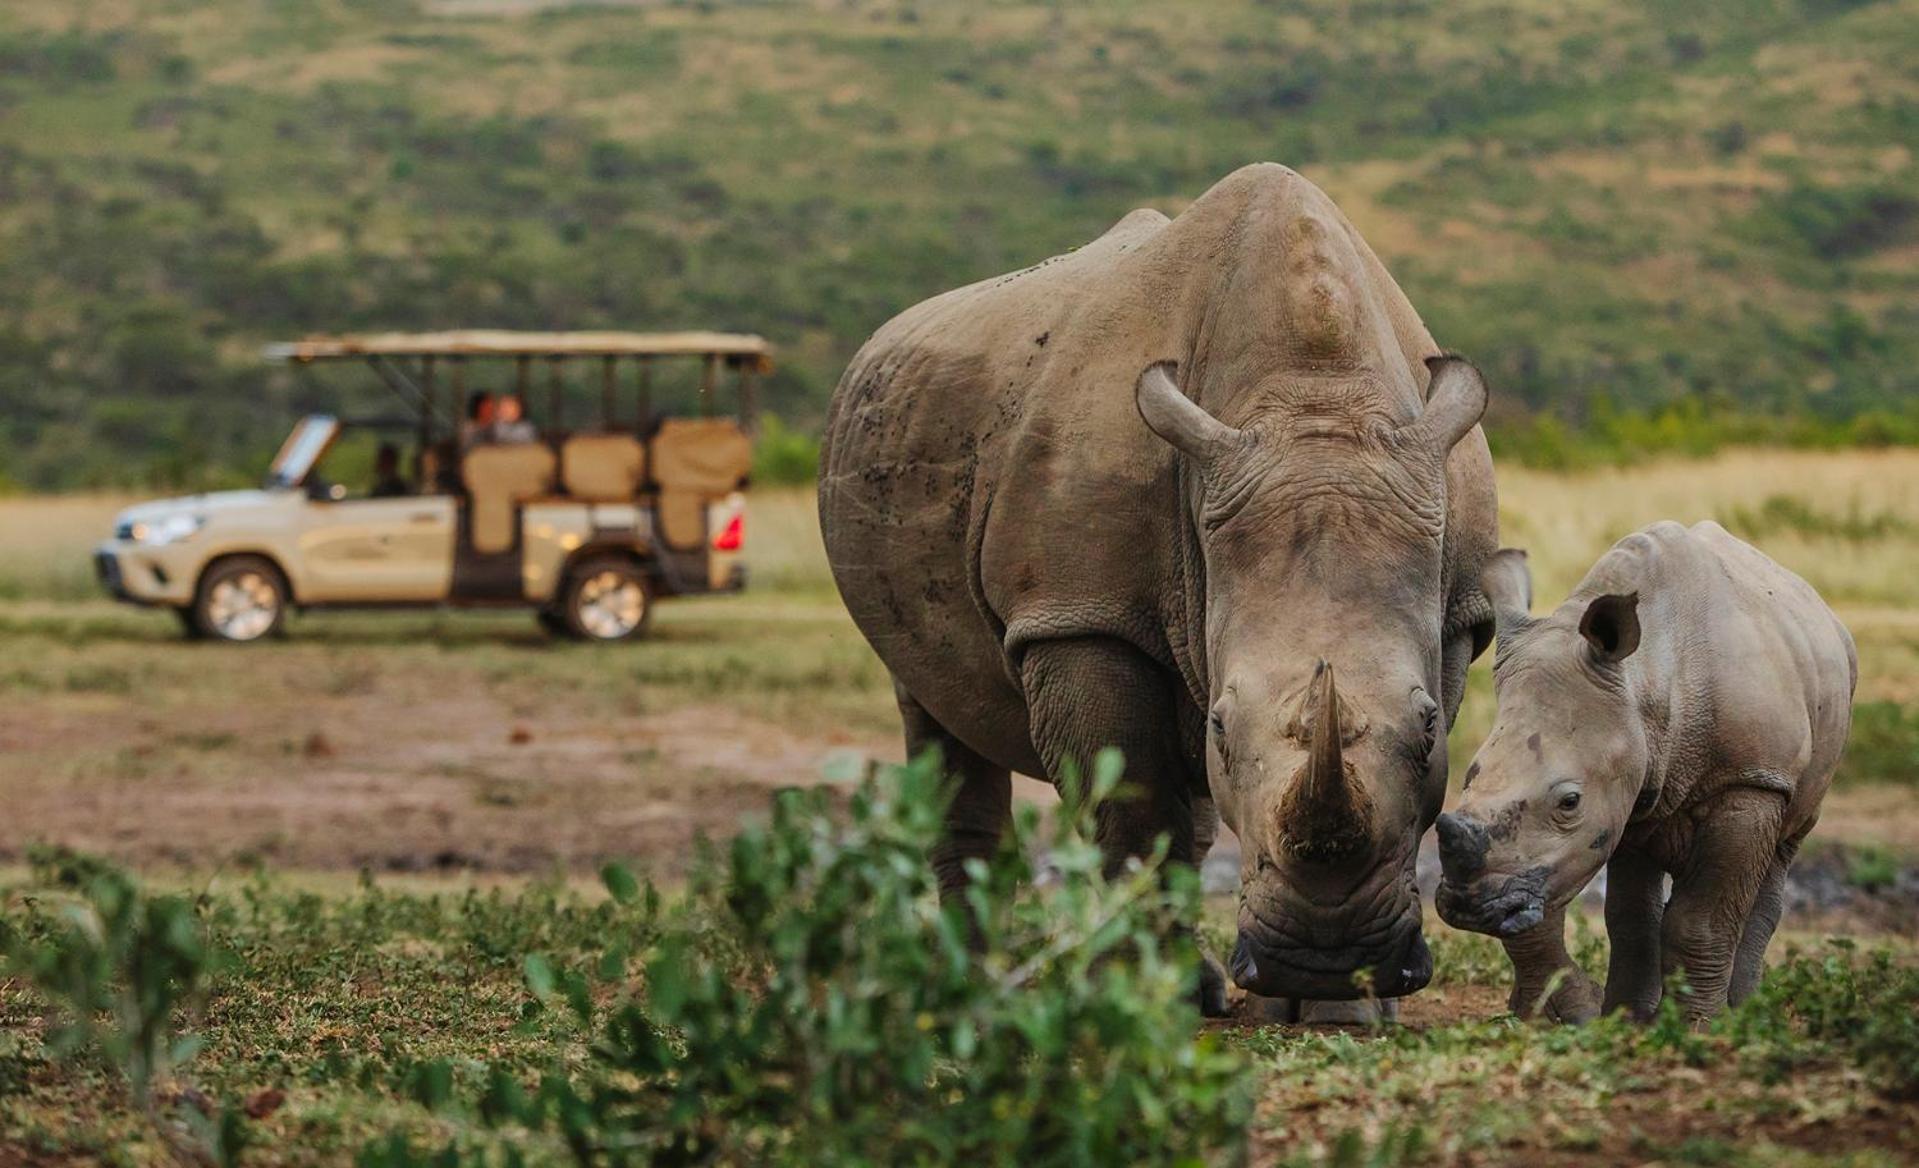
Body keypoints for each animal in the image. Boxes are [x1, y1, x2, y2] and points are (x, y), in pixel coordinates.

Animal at [819, 164, 1499, 1014]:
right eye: (1220, 725)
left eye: (1430, 725)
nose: (1324, 955)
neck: (1315, 403)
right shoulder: (1079, 614)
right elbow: (1131, 813)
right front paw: (1140, 998)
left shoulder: (1454, 611)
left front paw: (1340, 1007)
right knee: (930, 704)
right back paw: (969, 988)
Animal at [1435, 523, 1856, 1023]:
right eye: (1470, 775)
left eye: (1569, 802)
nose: (1466, 906)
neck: (1648, 678)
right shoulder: (1631, 789)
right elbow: (1628, 917)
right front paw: (1627, 1021)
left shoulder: (1750, 780)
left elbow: (1703, 921)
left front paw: (1696, 1027)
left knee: (1784, 849)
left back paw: (1746, 1011)